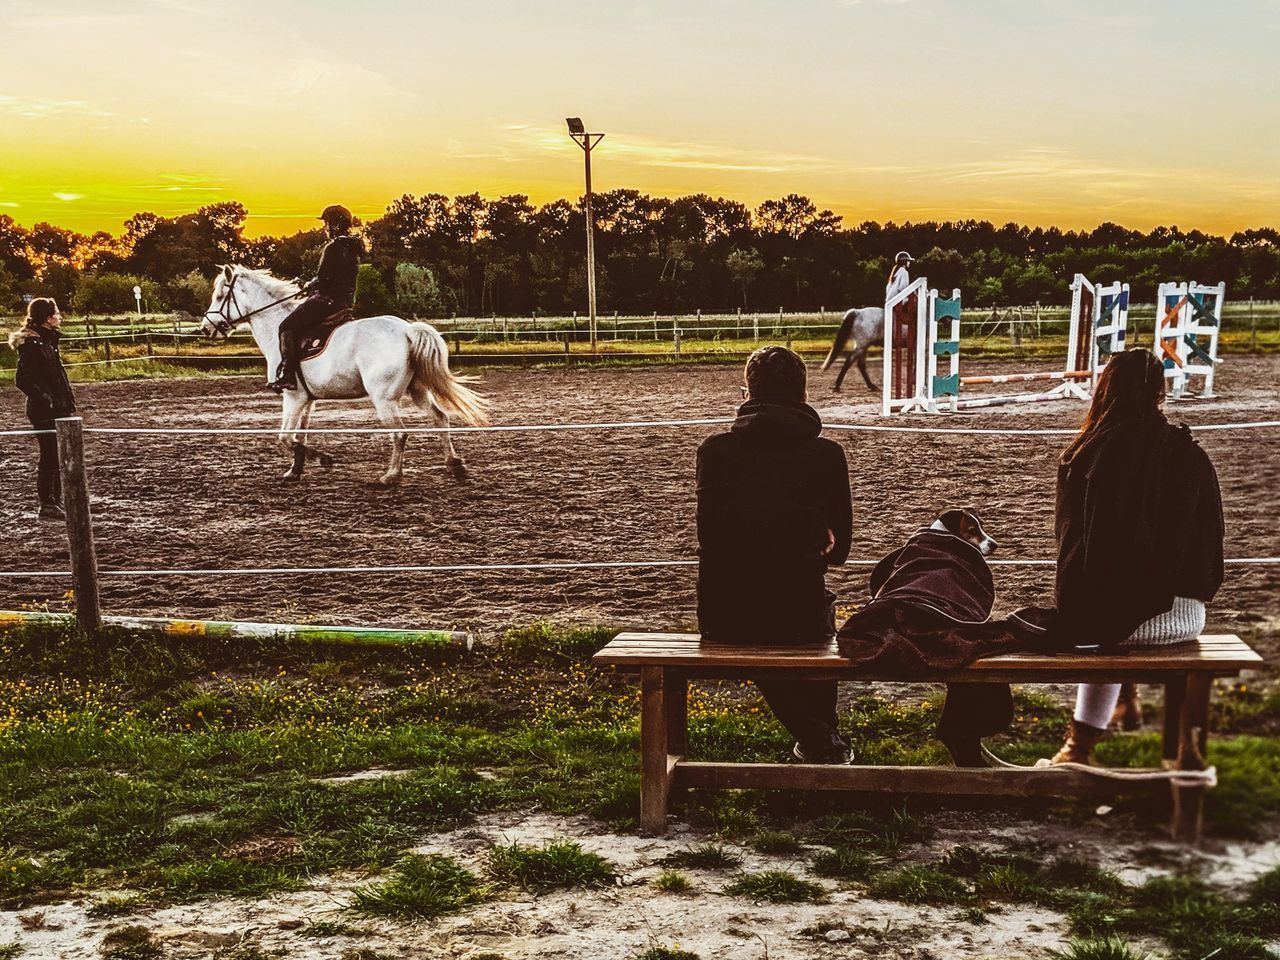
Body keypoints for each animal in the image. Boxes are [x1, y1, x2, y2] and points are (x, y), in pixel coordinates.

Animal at [202, 267, 486, 483]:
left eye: (220, 295)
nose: (206, 328)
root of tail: (407, 330)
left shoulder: (292, 397)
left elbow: (285, 437)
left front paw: (324, 460)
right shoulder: (307, 400)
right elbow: (299, 436)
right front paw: (295, 471)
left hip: (384, 399)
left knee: (400, 433)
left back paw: (390, 476)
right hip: (417, 390)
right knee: (440, 418)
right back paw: (455, 465)